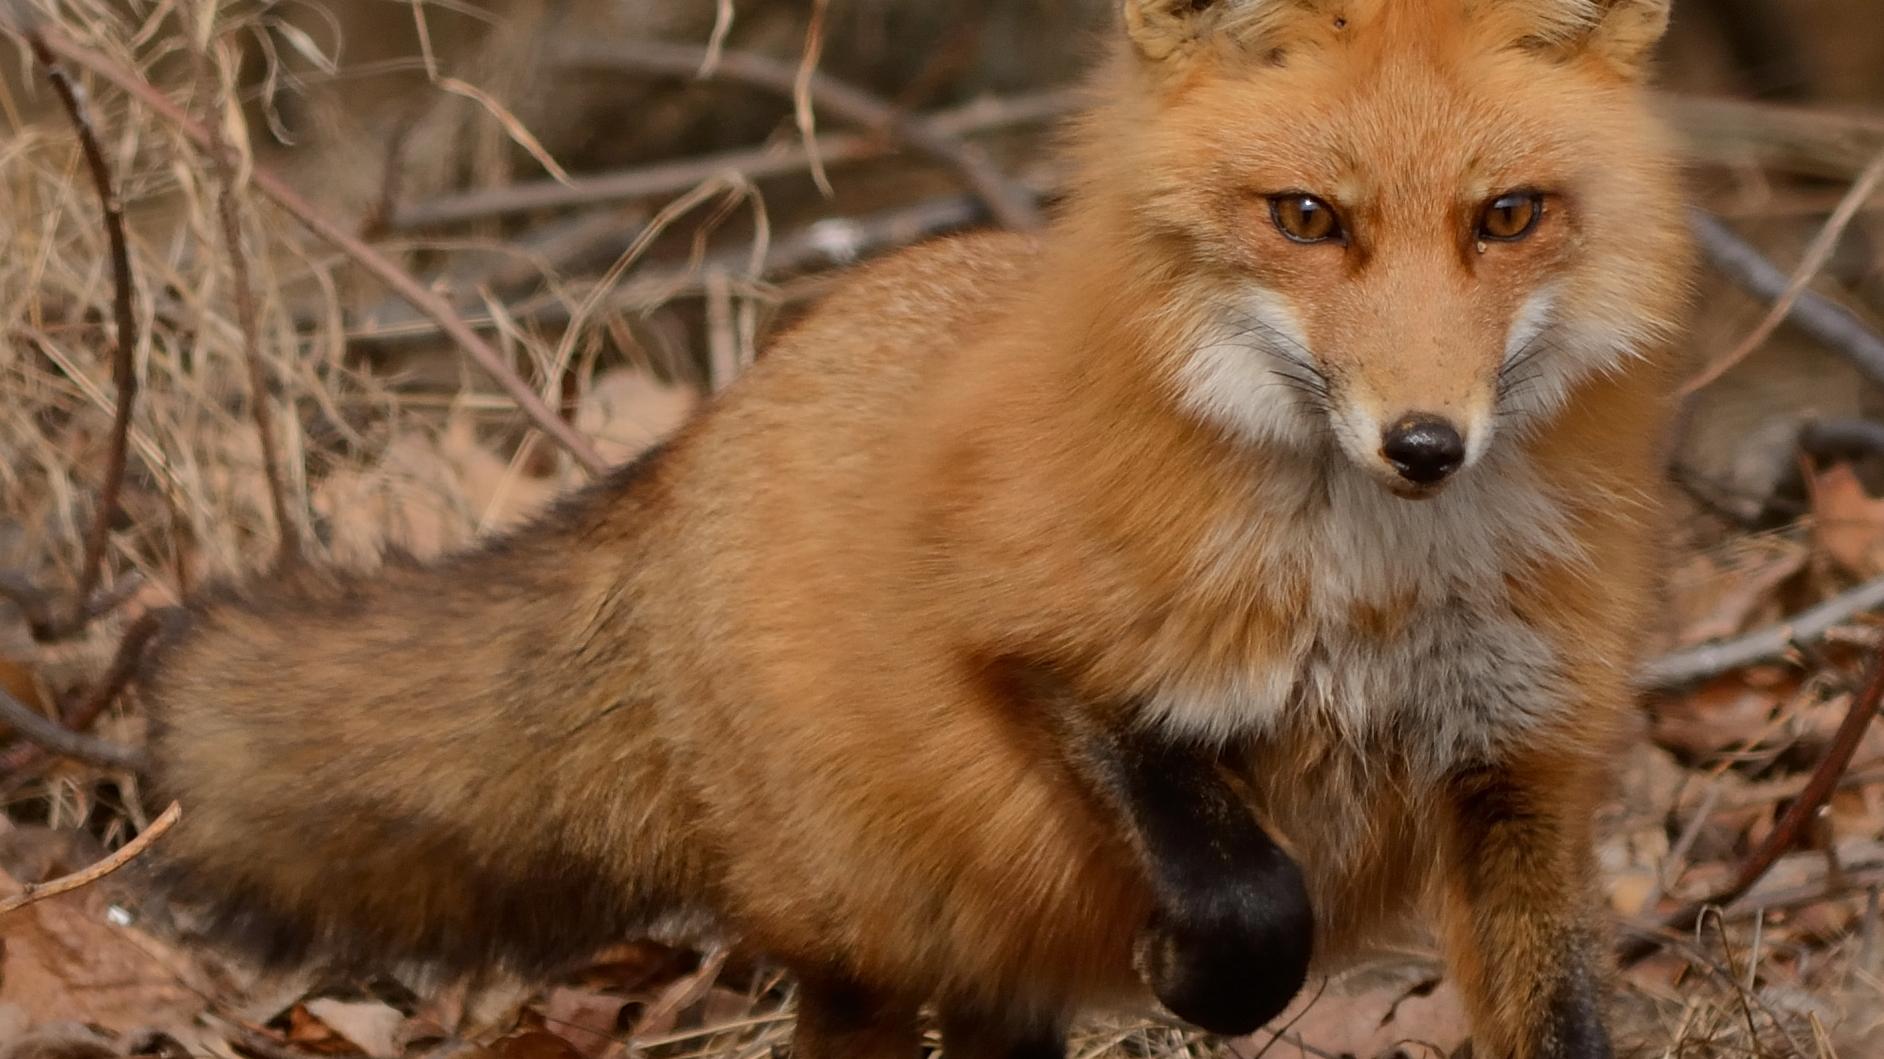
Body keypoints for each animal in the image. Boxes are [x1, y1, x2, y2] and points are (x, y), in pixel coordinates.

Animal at [137, 0, 1693, 1056]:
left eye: (1509, 216)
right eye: (1306, 218)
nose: (1424, 443)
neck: (1379, 596)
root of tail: (708, 429)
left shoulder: (1519, 778)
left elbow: (1554, 1013)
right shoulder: (1023, 646)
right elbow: (1249, 896)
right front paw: (1192, 970)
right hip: (871, 944)